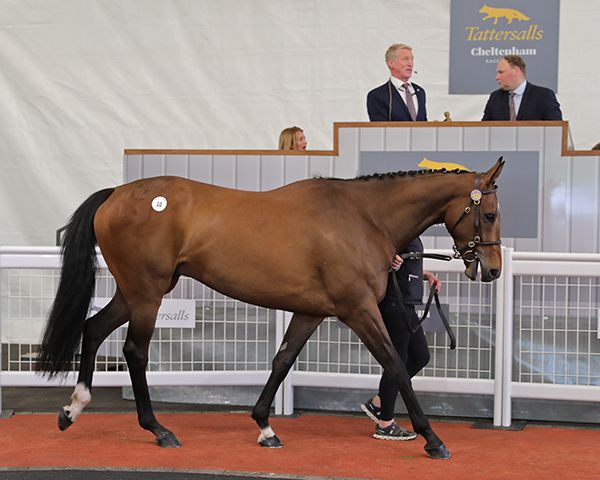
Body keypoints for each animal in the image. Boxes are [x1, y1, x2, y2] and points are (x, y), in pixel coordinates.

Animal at [37, 158, 504, 462]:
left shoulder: (310, 312)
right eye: (490, 213)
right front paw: (433, 439)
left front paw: (264, 426)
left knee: (94, 328)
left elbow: (282, 361)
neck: (362, 217)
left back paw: (72, 410)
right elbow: (396, 365)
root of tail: (116, 194)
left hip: (135, 292)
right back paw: (159, 430)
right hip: (147, 293)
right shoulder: (358, 310)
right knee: (134, 352)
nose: (493, 270)